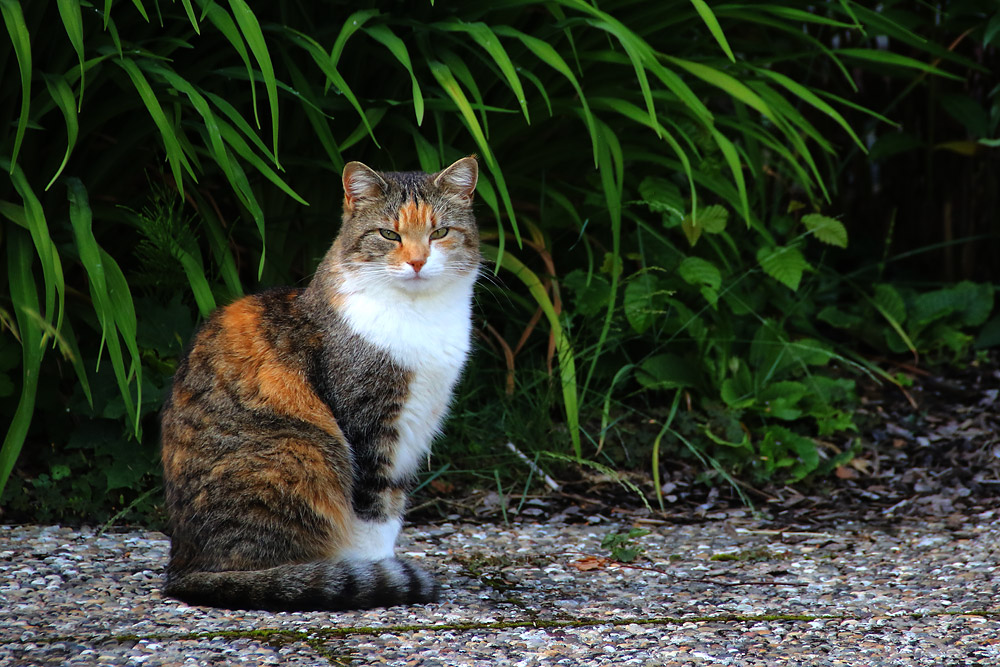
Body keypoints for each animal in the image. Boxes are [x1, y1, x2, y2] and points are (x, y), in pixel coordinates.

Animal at [160, 155, 480, 612]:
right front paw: (373, 574)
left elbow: (392, 503)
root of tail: (182, 569)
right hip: (302, 449)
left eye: (439, 233)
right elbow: (371, 512)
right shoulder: (367, 427)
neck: (420, 316)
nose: (418, 262)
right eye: (388, 234)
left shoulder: (413, 429)